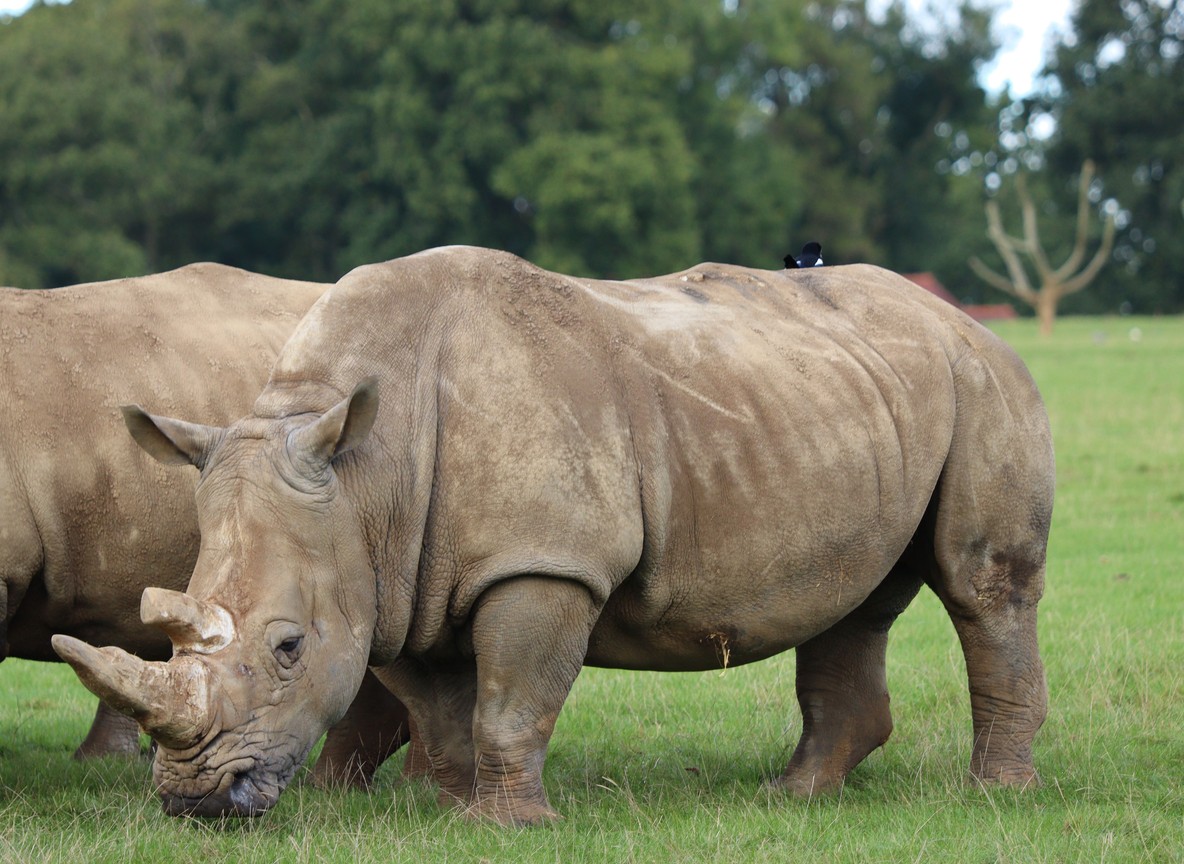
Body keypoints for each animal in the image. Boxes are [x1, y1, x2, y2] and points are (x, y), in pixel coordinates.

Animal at [55, 247, 1054, 824]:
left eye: (289, 648)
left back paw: (995, 797)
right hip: (861, 395)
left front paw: (508, 828)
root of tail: (961, 317)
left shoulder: (541, 565)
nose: (193, 801)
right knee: (854, 600)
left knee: (984, 587)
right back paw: (796, 798)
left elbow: (510, 699)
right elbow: (442, 703)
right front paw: (452, 811)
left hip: (983, 380)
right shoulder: (396, 574)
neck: (366, 477)